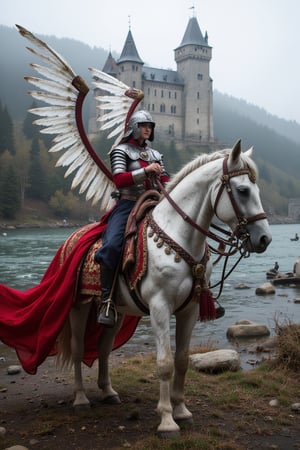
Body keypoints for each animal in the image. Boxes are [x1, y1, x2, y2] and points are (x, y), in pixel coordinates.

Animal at [56, 141, 272, 436]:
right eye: (242, 190)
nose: (264, 238)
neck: (178, 235)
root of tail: (71, 238)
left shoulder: (189, 309)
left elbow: (181, 360)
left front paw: (181, 410)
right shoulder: (160, 307)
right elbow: (164, 363)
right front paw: (167, 420)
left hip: (116, 312)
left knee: (103, 347)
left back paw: (109, 392)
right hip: (79, 306)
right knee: (78, 349)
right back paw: (80, 399)